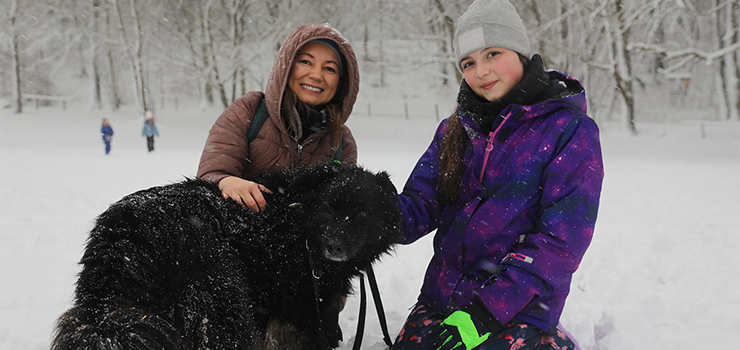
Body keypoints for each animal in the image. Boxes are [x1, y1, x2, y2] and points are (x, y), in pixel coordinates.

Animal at [52, 163, 402, 350]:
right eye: (329, 209)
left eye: (363, 214)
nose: (334, 246)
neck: (298, 225)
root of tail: (124, 235)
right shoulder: (300, 305)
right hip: (221, 298)